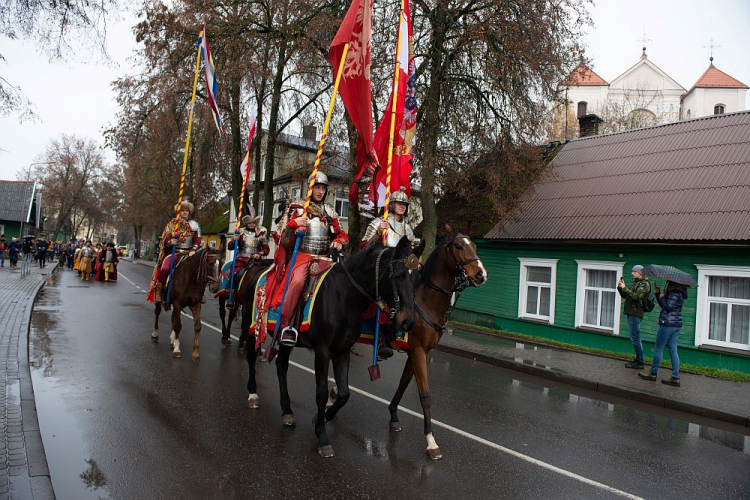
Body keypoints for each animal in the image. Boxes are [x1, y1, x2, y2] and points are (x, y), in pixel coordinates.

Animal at [388, 225, 488, 458]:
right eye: (459, 246)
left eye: (475, 245)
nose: (481, 274)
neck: (425, 301)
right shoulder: (418, 352)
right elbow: (425, 394)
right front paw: (431, 440)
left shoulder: (416, 352)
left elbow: (404, 383)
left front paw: (393, 414)